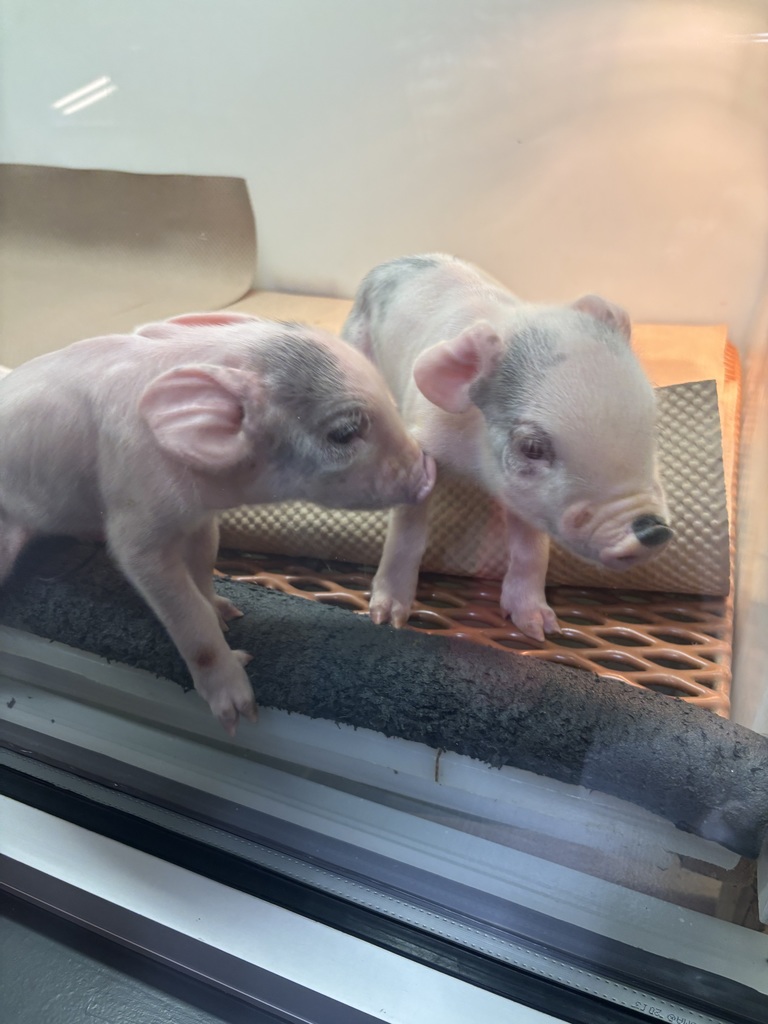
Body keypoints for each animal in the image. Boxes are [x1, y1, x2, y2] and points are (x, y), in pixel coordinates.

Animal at [0, 312, 435, 733]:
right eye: (345, 432)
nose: (429, 468)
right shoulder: (136, 512)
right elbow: (182, 607)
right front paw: (240, 714)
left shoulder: (200, 517)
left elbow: (205, 562)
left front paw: (229, 614)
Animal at [342, 254, 672, 641]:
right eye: (531, 447)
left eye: (652, 425)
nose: (654, 530)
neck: (473, 468)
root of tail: (389, 261)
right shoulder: (424, 445)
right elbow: (407, 533)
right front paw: (388, 619)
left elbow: (533, 548)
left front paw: (541, 630)